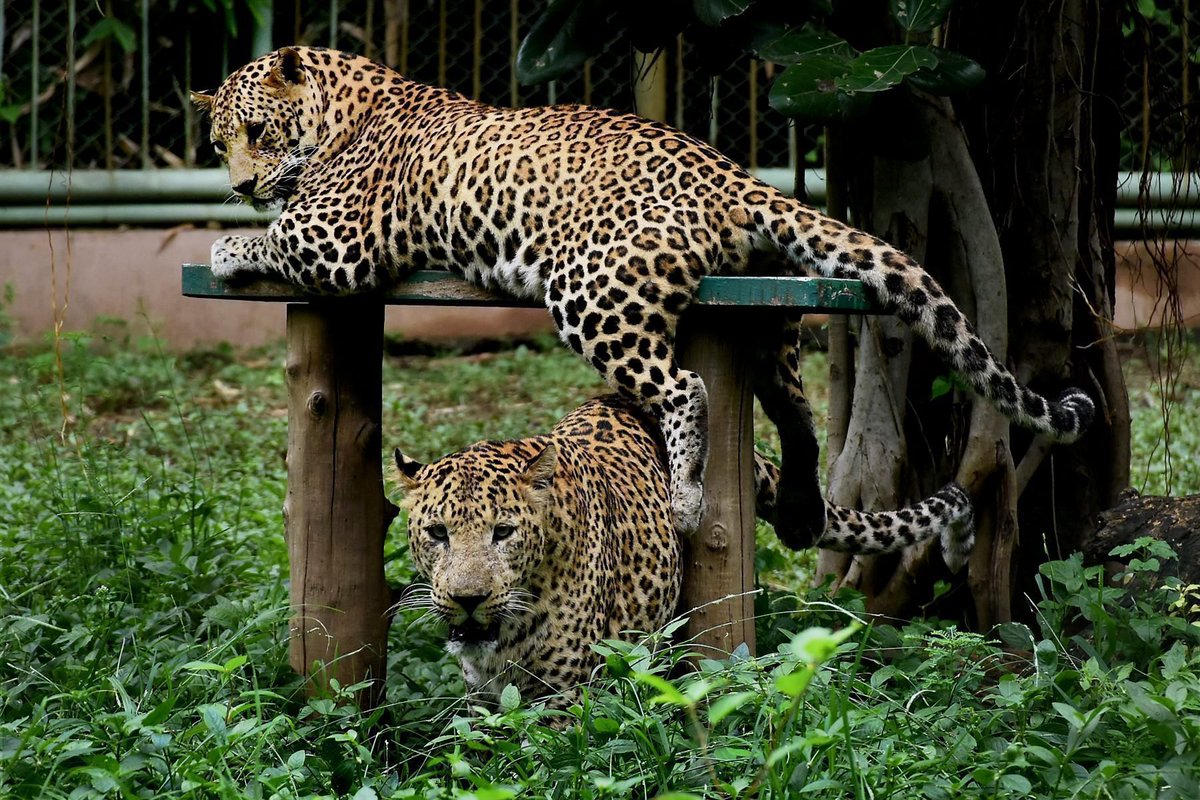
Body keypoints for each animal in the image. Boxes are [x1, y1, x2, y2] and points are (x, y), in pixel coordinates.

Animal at [193, 46, 1094, 547]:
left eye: (258, 133)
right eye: (217, 141)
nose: (239, 185)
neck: (344, 105)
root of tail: (733, 175)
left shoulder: (337, 242)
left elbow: (276, 236)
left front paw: (227, 243)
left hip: (591, 293)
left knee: (688, 387)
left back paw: (690, 495)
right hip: (771, 315)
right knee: (793, 409)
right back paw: (804, 501)